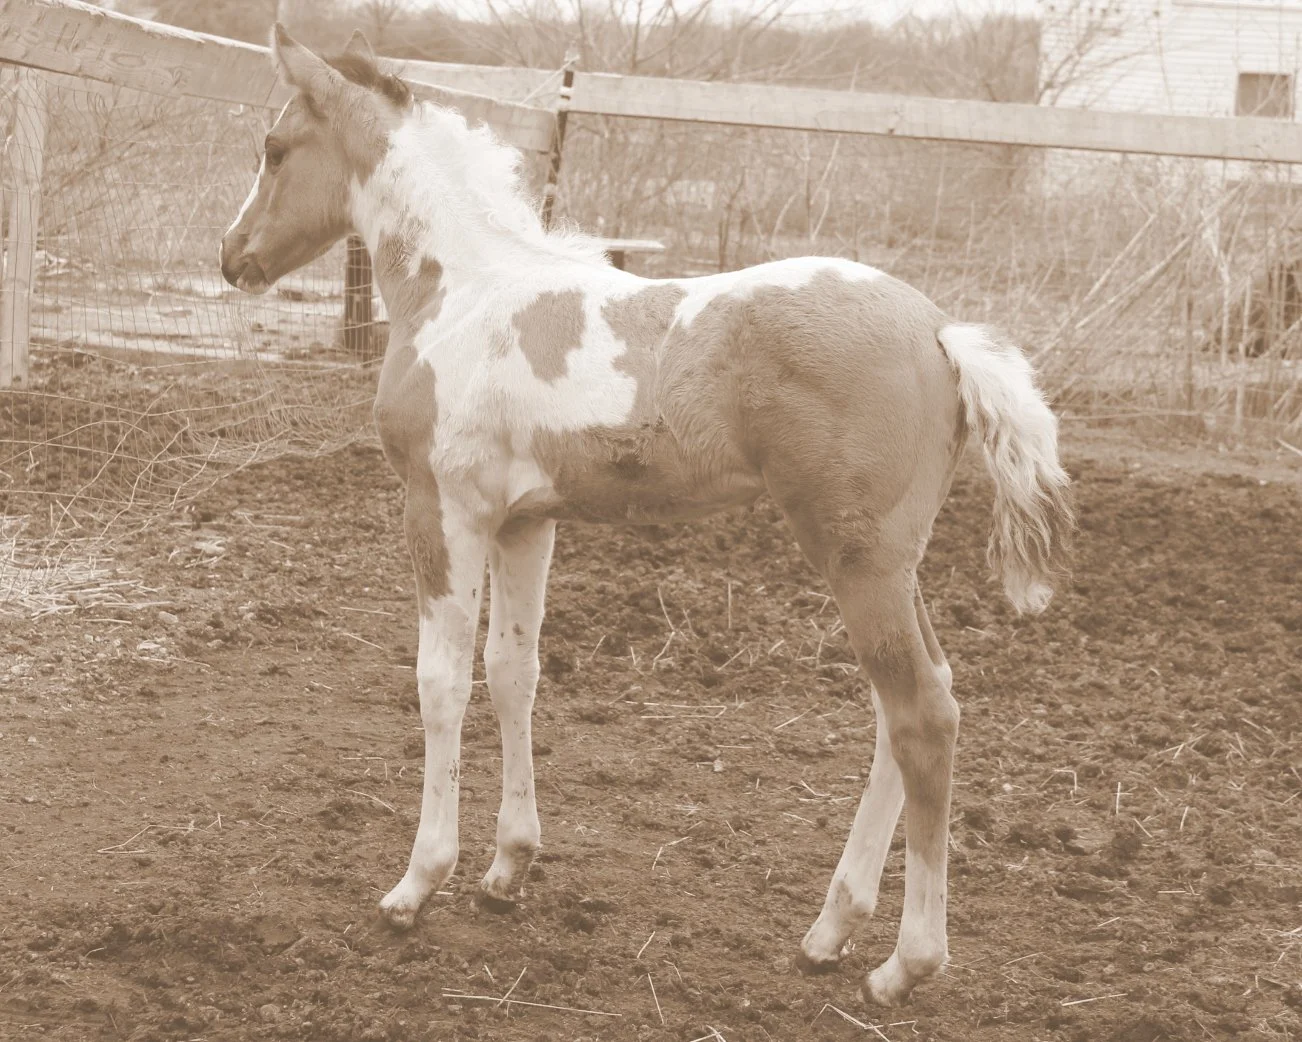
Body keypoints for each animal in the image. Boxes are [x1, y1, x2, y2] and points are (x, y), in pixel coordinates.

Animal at [219, 26, 1074, 1008]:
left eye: (274, 149)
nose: (231, 256)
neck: (464, 290)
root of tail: (942, 332)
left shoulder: (443, 510)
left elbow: (440, 685)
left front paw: (417, 882)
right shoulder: (525, 522)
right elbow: (513, 672)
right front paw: (508, 868)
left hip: (861, 558)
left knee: (922, 715)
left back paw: (903, 964)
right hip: (892, 563)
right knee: (908, 708)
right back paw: (828, 932)